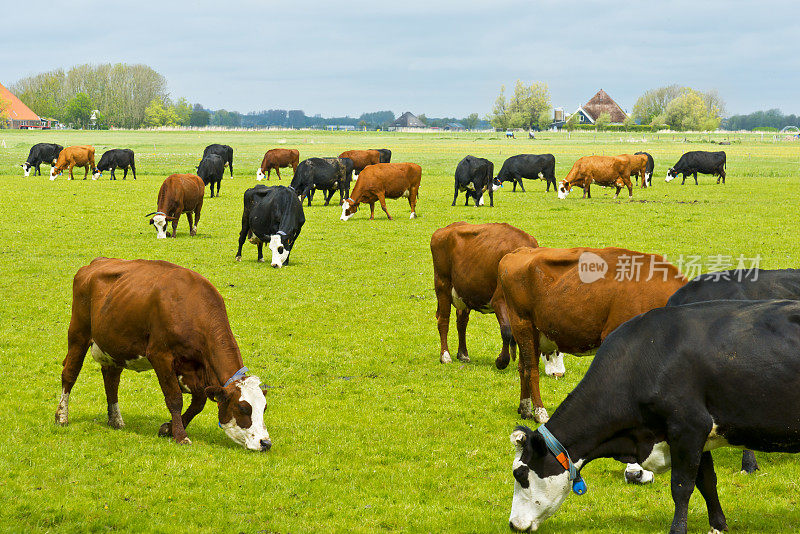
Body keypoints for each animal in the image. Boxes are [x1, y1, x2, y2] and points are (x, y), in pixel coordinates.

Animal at [54, 260, 272, 452]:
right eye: (243, 408)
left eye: (264, 408)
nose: (265, 443)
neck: (190, 305)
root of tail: (94, 264)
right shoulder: (160, 356)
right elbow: (174, 398)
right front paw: (180, 435)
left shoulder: (196, 369)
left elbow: (198, 402)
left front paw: (168, 428)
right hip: (78, 334)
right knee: (70, 374)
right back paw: (62, 416)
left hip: (113, 346)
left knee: (111, 381)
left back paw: (115, 420)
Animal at [432, 222, 536, 368]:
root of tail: (446, 228)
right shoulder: (498, 300)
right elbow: (506, 331)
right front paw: (501, 361)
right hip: (442, 284)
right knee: (443, 320)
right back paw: (445, 356)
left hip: (465, 292)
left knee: (462, 321)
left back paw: (463, 354)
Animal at [496, 249, 684, 426]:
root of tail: (519, 251)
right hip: (523, 324)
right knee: (531, 370)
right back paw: (540, 413)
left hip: (530, 334)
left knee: (522, 367)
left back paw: (525, 410)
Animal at [510, 302, 800, 534]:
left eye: (521, 475)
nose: (512, 524)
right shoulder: (696, 436)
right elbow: (707, 482)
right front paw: (718, 526)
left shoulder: (688, 427)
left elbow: (681, 487)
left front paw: (678, 530)